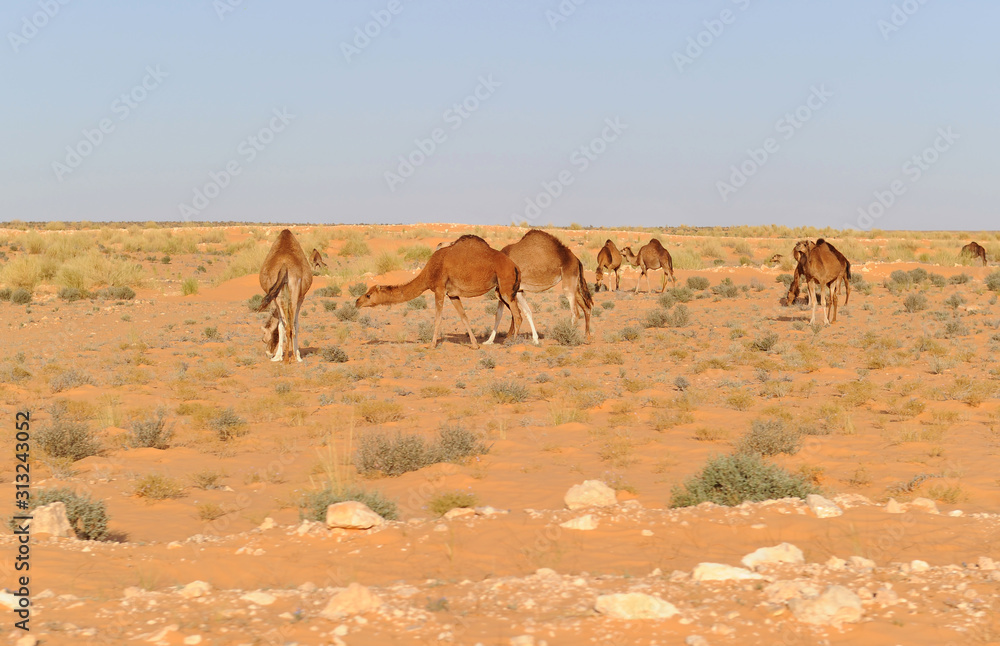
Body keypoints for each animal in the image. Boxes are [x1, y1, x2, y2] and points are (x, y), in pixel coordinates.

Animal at [258, 229, 312, 362]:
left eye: (264, 339)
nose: (268, 353)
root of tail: (285, 266)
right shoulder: (301, 298)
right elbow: (296, 324)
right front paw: (298, 356)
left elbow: (280, 325)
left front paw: (278, 356)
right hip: (293, 292)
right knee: (290, 325)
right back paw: (292, 359)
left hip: (278, 297)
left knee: (285, 325)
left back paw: (285, 359)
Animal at [356, 235, 524, 352]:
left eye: (368, 295)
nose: (357, 301)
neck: (428, 272)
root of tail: (515, 266)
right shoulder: (452, 294)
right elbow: (464, 317)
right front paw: (475, 345)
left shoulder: (439, 289)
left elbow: (437, 319)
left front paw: (431, 345)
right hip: (501, 291)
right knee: (514, 313)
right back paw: (507, 340)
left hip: (505, 286)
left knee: (517, 315)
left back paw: (512, 343)